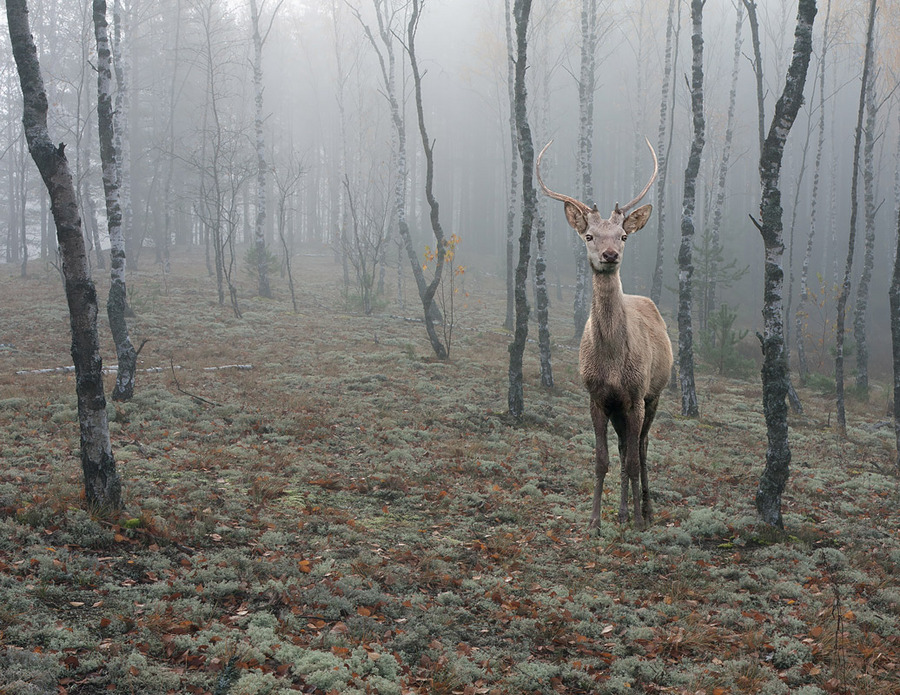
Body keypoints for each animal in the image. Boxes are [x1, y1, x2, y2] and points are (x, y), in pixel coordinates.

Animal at [536, 141, 672, 532]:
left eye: (623, 236)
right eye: (589, 235)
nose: (609, 254)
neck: (611, 362)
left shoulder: (636, 394)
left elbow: (632, 459)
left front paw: (639, 520)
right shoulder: (597, 397)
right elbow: (602, 459)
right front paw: (595, 520)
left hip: (654, 395)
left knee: (640, 449)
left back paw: (645, 510)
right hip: (618, 408)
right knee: (625, 447)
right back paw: (624, 511)